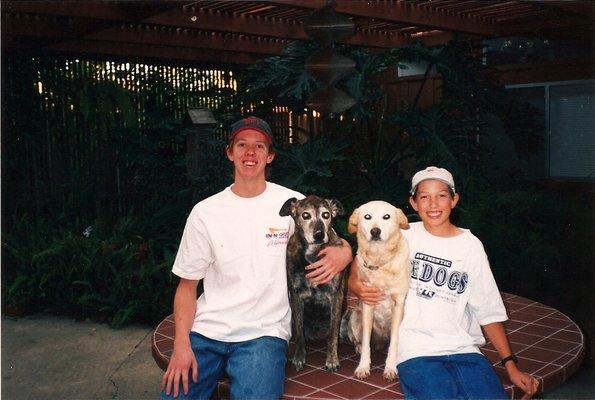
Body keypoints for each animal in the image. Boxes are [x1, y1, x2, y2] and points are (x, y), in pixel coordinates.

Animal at [280, 194, 350, 372]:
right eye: (305, 215)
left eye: (326, 215)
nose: (319, 234)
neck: (313, 255)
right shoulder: (296, 295)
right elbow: (299, 334)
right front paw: (299, 357)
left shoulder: (335, 296)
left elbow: (332, 334)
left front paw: (332, 359)